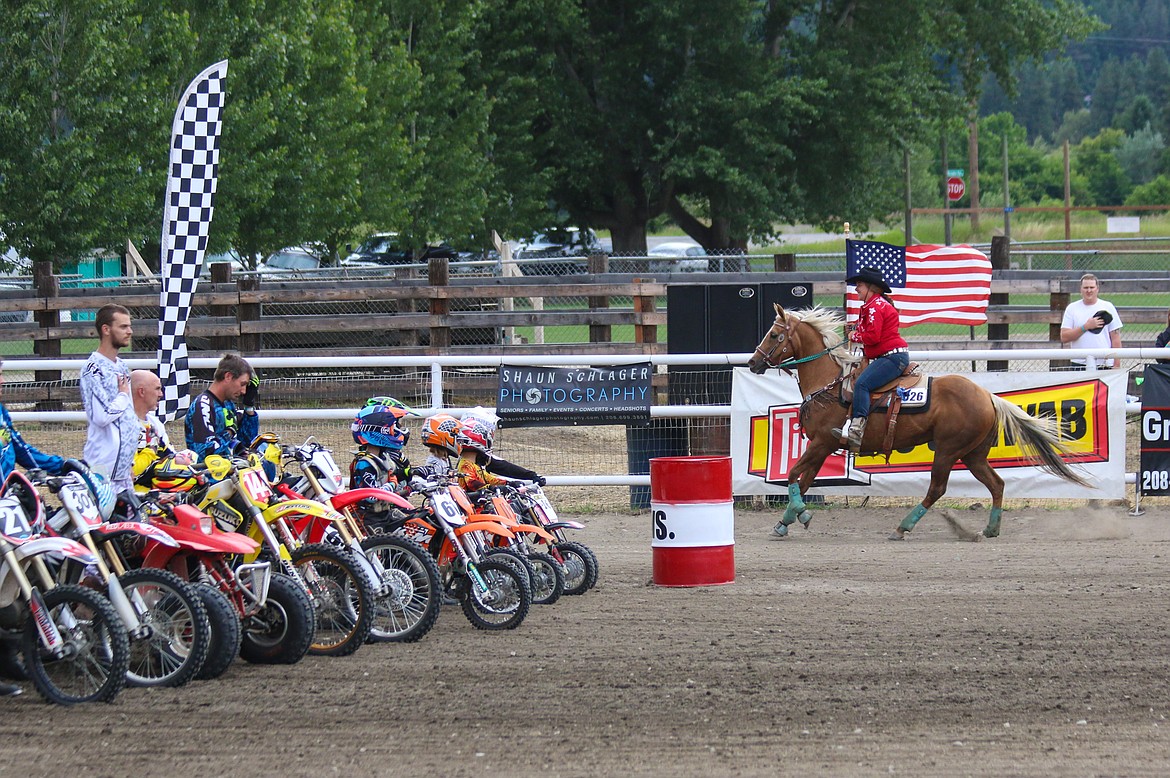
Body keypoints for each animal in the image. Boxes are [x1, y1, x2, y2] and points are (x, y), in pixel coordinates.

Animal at [744, 304, 1090, 540]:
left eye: (774, 334)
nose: (753, 362)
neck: (831, 384)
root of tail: (987, 396)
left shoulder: (822, 442)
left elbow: (792, 475)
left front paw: (800, 515)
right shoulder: (823, 446)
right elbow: (802, 481)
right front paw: (786, 521)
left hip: (949, 450)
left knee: (937, 488)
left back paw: (903, 527)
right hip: (973, 454)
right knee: (996, 484)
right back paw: (990, 529)